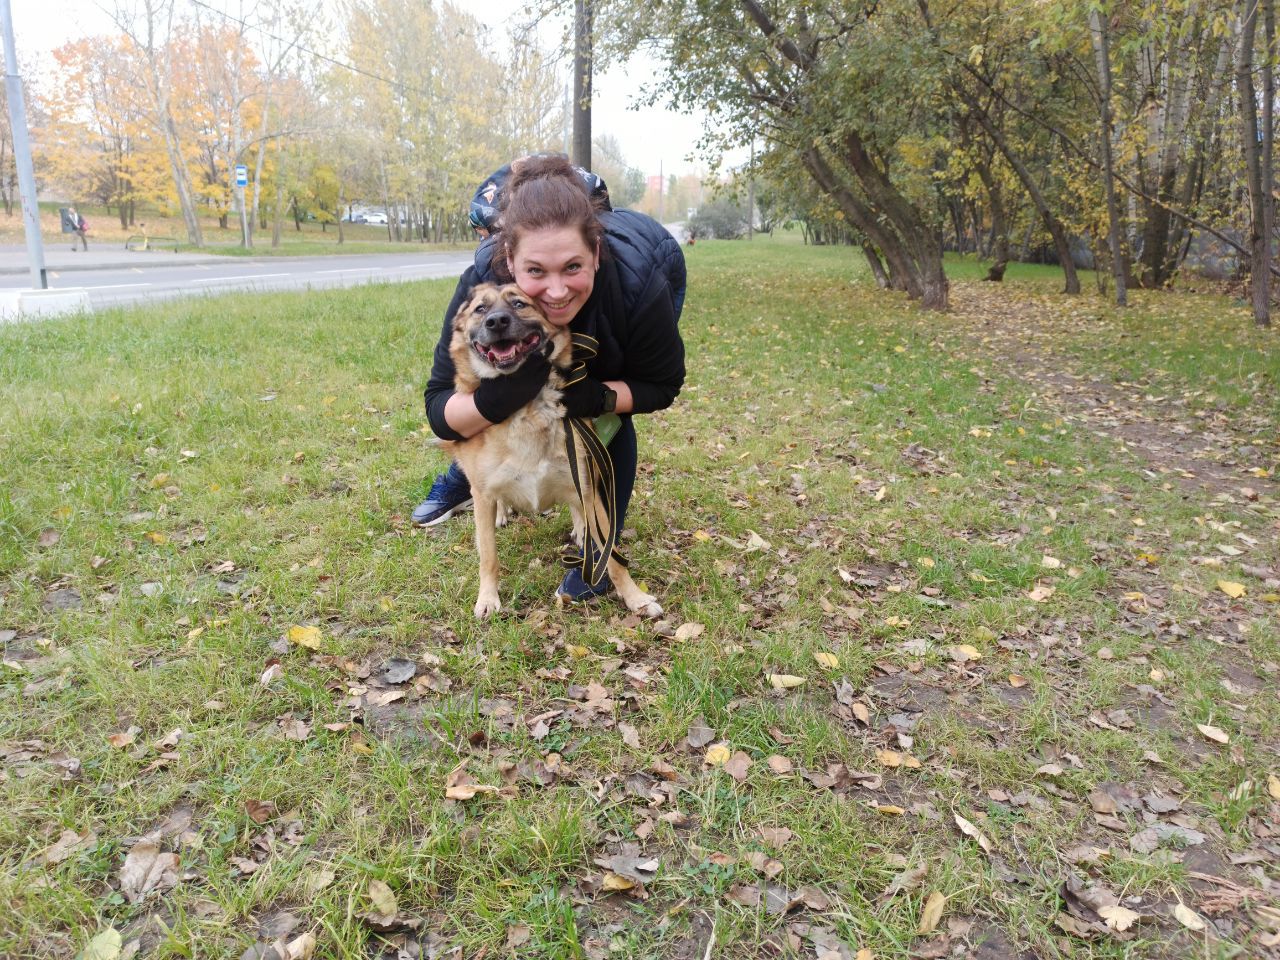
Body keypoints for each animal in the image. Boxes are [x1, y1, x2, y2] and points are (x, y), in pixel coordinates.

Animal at [442, 281, 665, 619]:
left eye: (519, 304)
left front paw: (635, 597)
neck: (528, 408)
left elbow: (612, 556)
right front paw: (488, 598)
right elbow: (488, 556)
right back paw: (502, 513)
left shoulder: (585, 481)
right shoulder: (482, 494)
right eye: (480, 309)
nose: (496, 322)